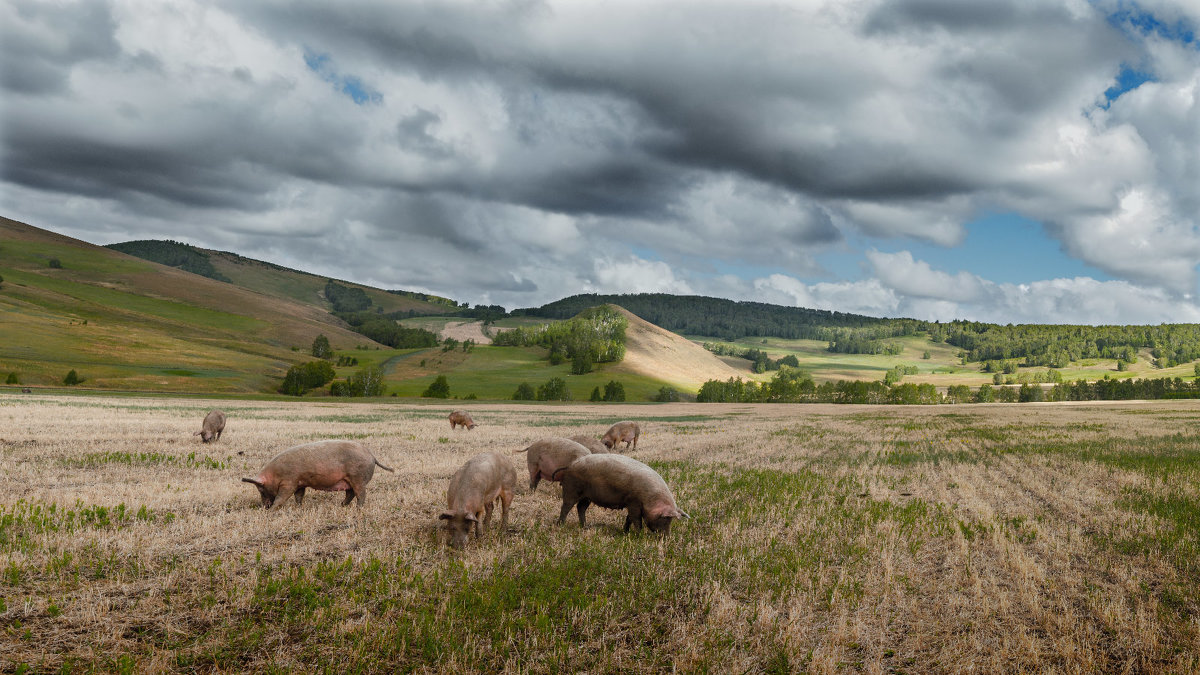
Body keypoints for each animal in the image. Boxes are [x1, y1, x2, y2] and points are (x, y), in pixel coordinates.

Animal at [240, 439, 393, 506]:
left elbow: (282, 497)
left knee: (361, 494)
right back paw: (342, 505)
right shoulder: (300, 483)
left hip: (358, 477)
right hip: (349, 480)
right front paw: (299, 507)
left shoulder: (290, 481)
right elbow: (299, 496)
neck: (276, 474)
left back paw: (358, 508)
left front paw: (273, 510)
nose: (265, 507)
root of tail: (371, 455)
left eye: (260, 489)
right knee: (350, 493)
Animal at [549, 451, 686, 530]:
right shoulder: (634, 502)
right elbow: (636, 520)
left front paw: (625, 532)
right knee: (566, 506)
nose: (665, 538)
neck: (650, 497)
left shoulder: (631, 504)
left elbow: (629, 518)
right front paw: (638, 535)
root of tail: (570, 466)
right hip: (571, 489)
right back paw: (561, 525)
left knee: (580, 508)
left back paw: (585, 527)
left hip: (587, 496)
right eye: (665, 519)